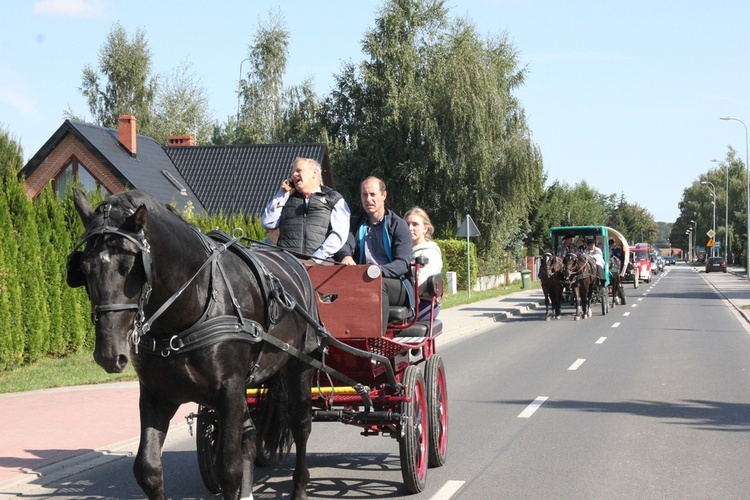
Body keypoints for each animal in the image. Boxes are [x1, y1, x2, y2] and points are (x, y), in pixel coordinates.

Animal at [67, 188, 320, 500]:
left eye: (131, 268)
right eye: (84, 269)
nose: (108, 354)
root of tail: (295, 261)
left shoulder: (228, 391)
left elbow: (228, 470)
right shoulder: (157, 395)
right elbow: (148, 469)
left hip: (299, 366)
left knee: (301, 426)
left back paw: (300, 486)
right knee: (250, 435)